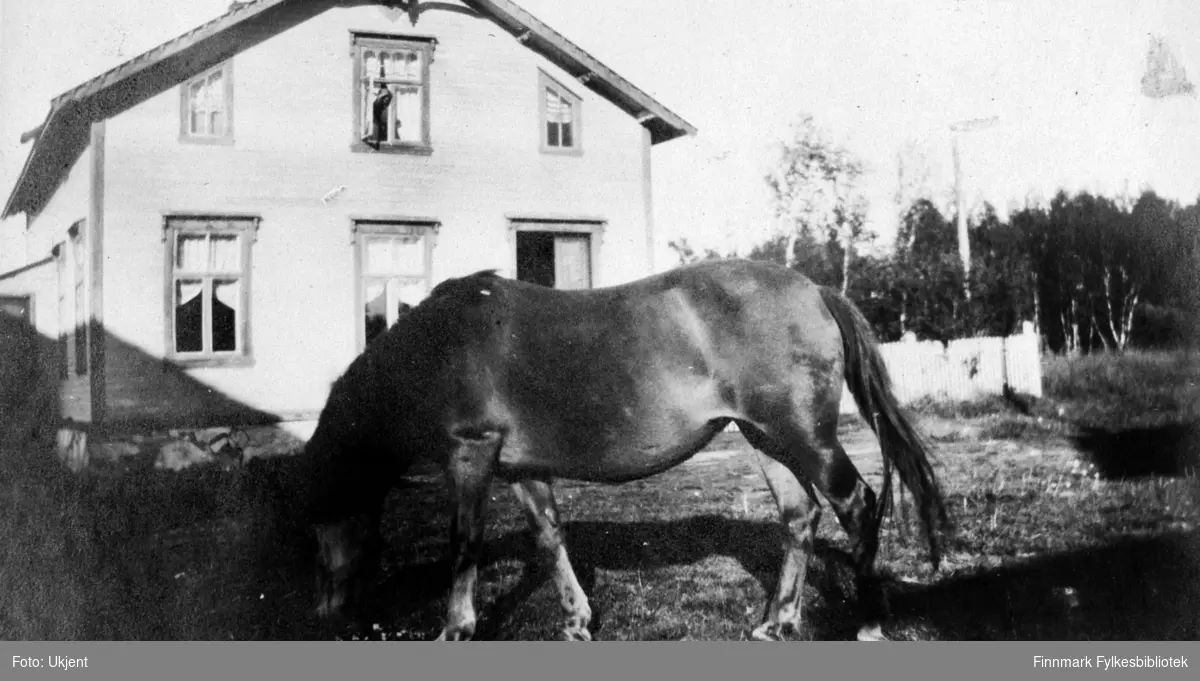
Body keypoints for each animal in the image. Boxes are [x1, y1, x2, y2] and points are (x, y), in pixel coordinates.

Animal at [297, 257, 945, 642]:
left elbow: (464, 544)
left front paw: (455, 628)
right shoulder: (521, 468)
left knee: (857, 504)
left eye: (318, 522)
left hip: (804, 437)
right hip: (767, 439)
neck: (439, 348)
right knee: (800, 517)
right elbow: (550, 538)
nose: (322, 615)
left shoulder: (470, 453)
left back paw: (867, 623)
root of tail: (815, 290)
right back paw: (778, 621)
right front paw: (577, 621)